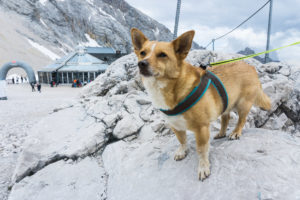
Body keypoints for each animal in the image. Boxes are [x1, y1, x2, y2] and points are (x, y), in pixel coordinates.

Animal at [130, 27, 270, 180]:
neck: (172, 87)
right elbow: (182, 140)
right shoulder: (175, 126)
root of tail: (251, 67)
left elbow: (202, 150)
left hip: (243, 105)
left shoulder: (202, 129)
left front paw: (203, 167)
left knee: (241, 120)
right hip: (225, 103)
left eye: (162, 55)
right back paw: (221, 133)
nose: (141, 63)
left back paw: (236, 133)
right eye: (142, 53)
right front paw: (182, 151)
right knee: (225, 118)